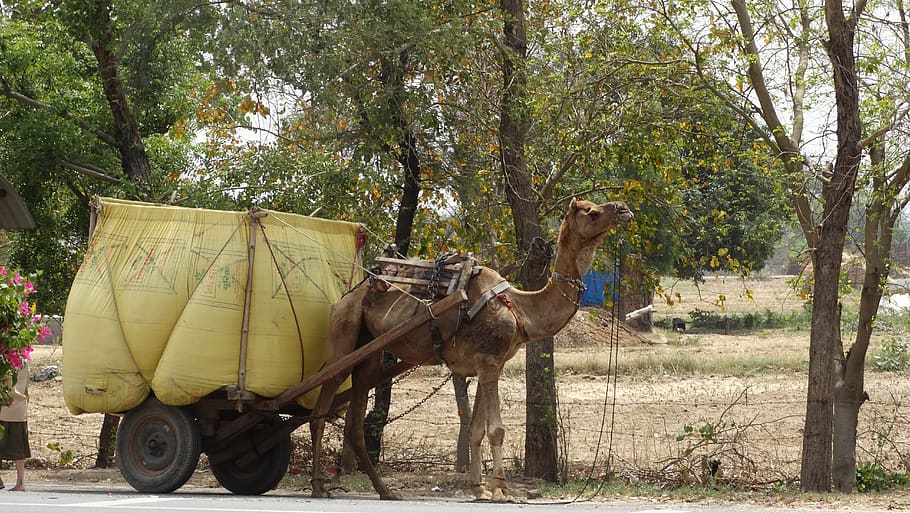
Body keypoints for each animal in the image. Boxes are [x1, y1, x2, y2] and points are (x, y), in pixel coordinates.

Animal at [308, 198, 633, 501]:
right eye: (592, 212)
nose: (624, 209)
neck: (521, 309)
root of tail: (344, 297)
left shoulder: (486, 364)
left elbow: (476, 430)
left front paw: (479, 488)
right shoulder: (489, 361)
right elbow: (496, 429)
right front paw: (501, 489)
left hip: (369, 351)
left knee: (354, 421)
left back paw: (384, 490)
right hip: (344, 334)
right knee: (321, 405)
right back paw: (318, 487)